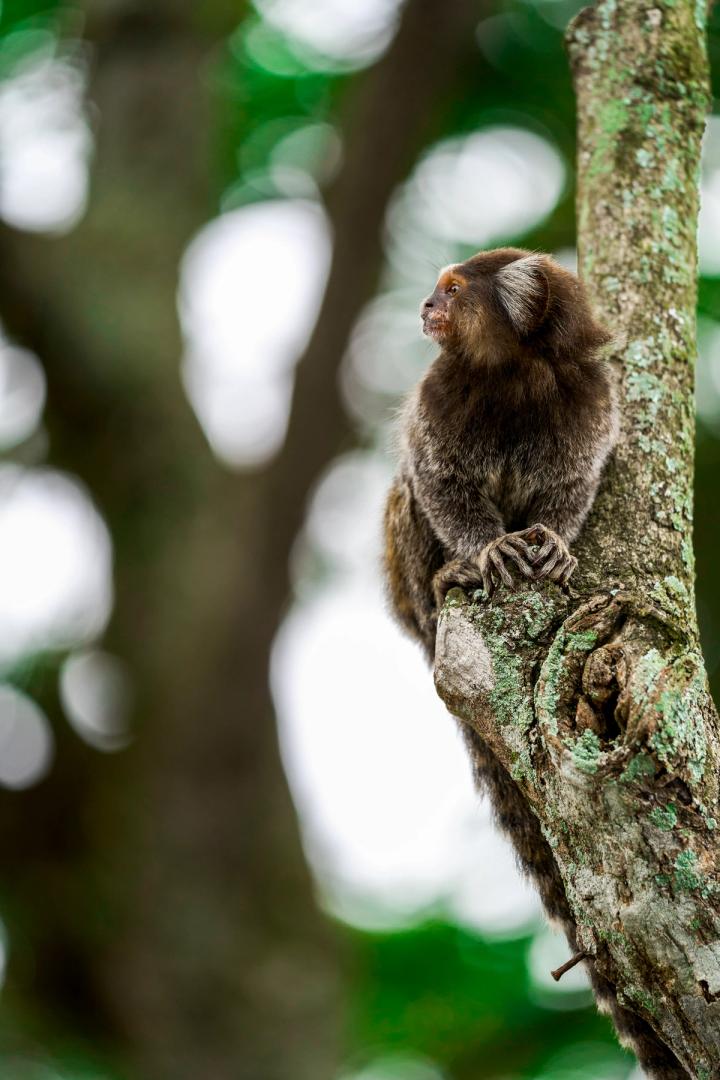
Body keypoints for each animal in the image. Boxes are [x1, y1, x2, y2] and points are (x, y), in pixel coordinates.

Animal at [382, 248, 688, 1078]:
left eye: (454, 290)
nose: (425, 306)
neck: (513, 378)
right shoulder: (436, 400)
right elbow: (438, 484)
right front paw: (483, 550)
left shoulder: (589, 402)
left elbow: (571, 489)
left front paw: (551, 540)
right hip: (403, 583)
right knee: (404, 500)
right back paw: (443, 583)